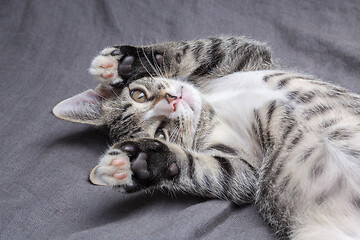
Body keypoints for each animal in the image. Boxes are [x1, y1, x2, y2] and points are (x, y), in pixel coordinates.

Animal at [52, 36, 360, 239]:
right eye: (161, 132)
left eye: (138, 94)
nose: (172, 101)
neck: (213, 103)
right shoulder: (245, 171)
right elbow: (206, 170)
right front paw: (142, 162)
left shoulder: (251, 56)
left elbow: (201, 48)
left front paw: (127, 62)